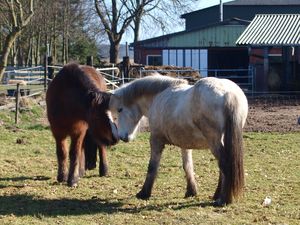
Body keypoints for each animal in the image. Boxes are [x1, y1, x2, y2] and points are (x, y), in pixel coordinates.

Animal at [110, 74, 248, 206]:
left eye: (120, 109)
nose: (122, 136)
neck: (159, 95)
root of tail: (228, 93)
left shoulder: (156, 140)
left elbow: (152, 166)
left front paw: (144, 193)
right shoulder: (185, 144)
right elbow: (187, 166)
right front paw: (191, 191)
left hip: (214, 142)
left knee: (225, 165)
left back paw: (223, 199)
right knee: (222, 168)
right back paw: (217, 195)